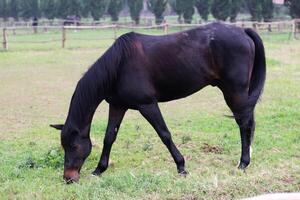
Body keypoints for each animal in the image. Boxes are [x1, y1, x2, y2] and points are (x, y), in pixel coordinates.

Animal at [50, 22, 266, 183]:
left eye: (74, 146)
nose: (68, 178)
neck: (119, 65)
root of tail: (243, 31)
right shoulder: (118, 106)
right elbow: (109, 137)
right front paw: (99, 169)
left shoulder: (147, 105)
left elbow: (164, 134)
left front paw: (181, 166)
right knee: (249, 122)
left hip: (234, 91)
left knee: (244, 123)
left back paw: (243, 163)